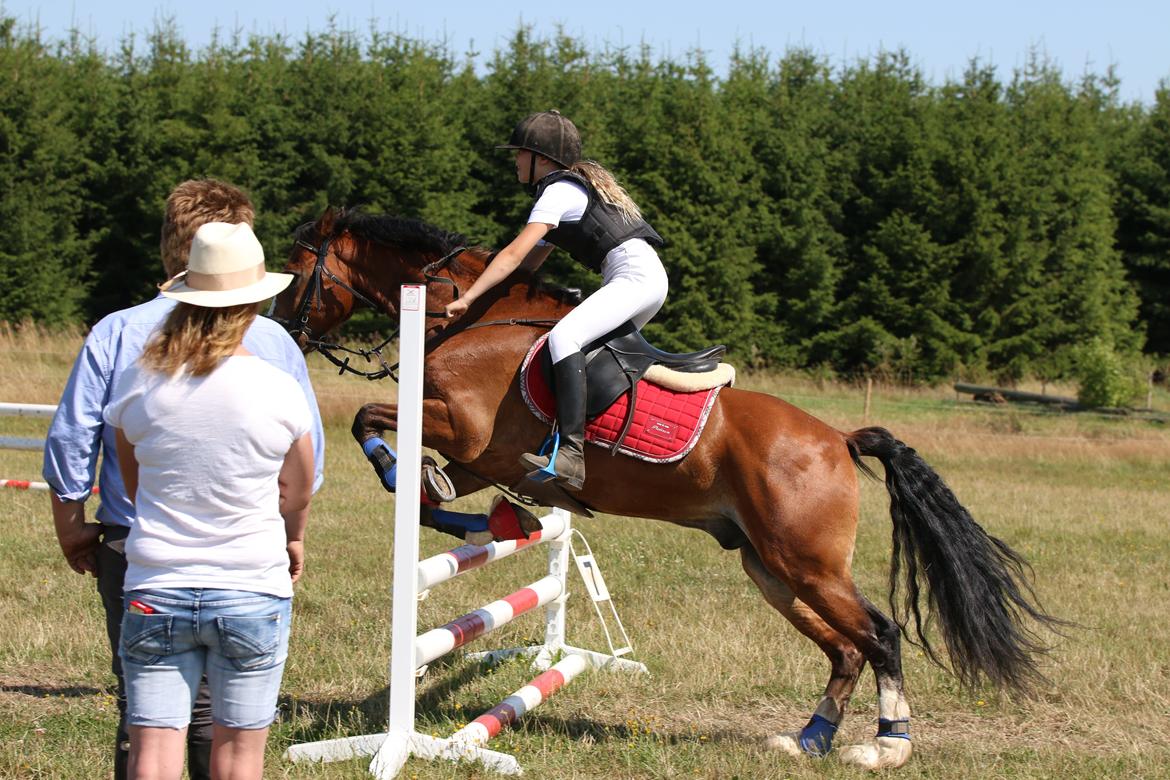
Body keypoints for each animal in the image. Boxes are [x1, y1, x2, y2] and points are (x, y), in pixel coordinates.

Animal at [271, 205, 1062, 767]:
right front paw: (496, 520)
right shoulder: (479, 457)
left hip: (806, 562)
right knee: (844, 649)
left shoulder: (460, 428)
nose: (281, 332)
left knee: (880, 633)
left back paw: (887, 743)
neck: (472, 315)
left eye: (296, 268)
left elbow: (372, 424)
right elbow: (437, 488)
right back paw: (807, 739)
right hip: (769, 568)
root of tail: (838, 438)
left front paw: (416, 477)